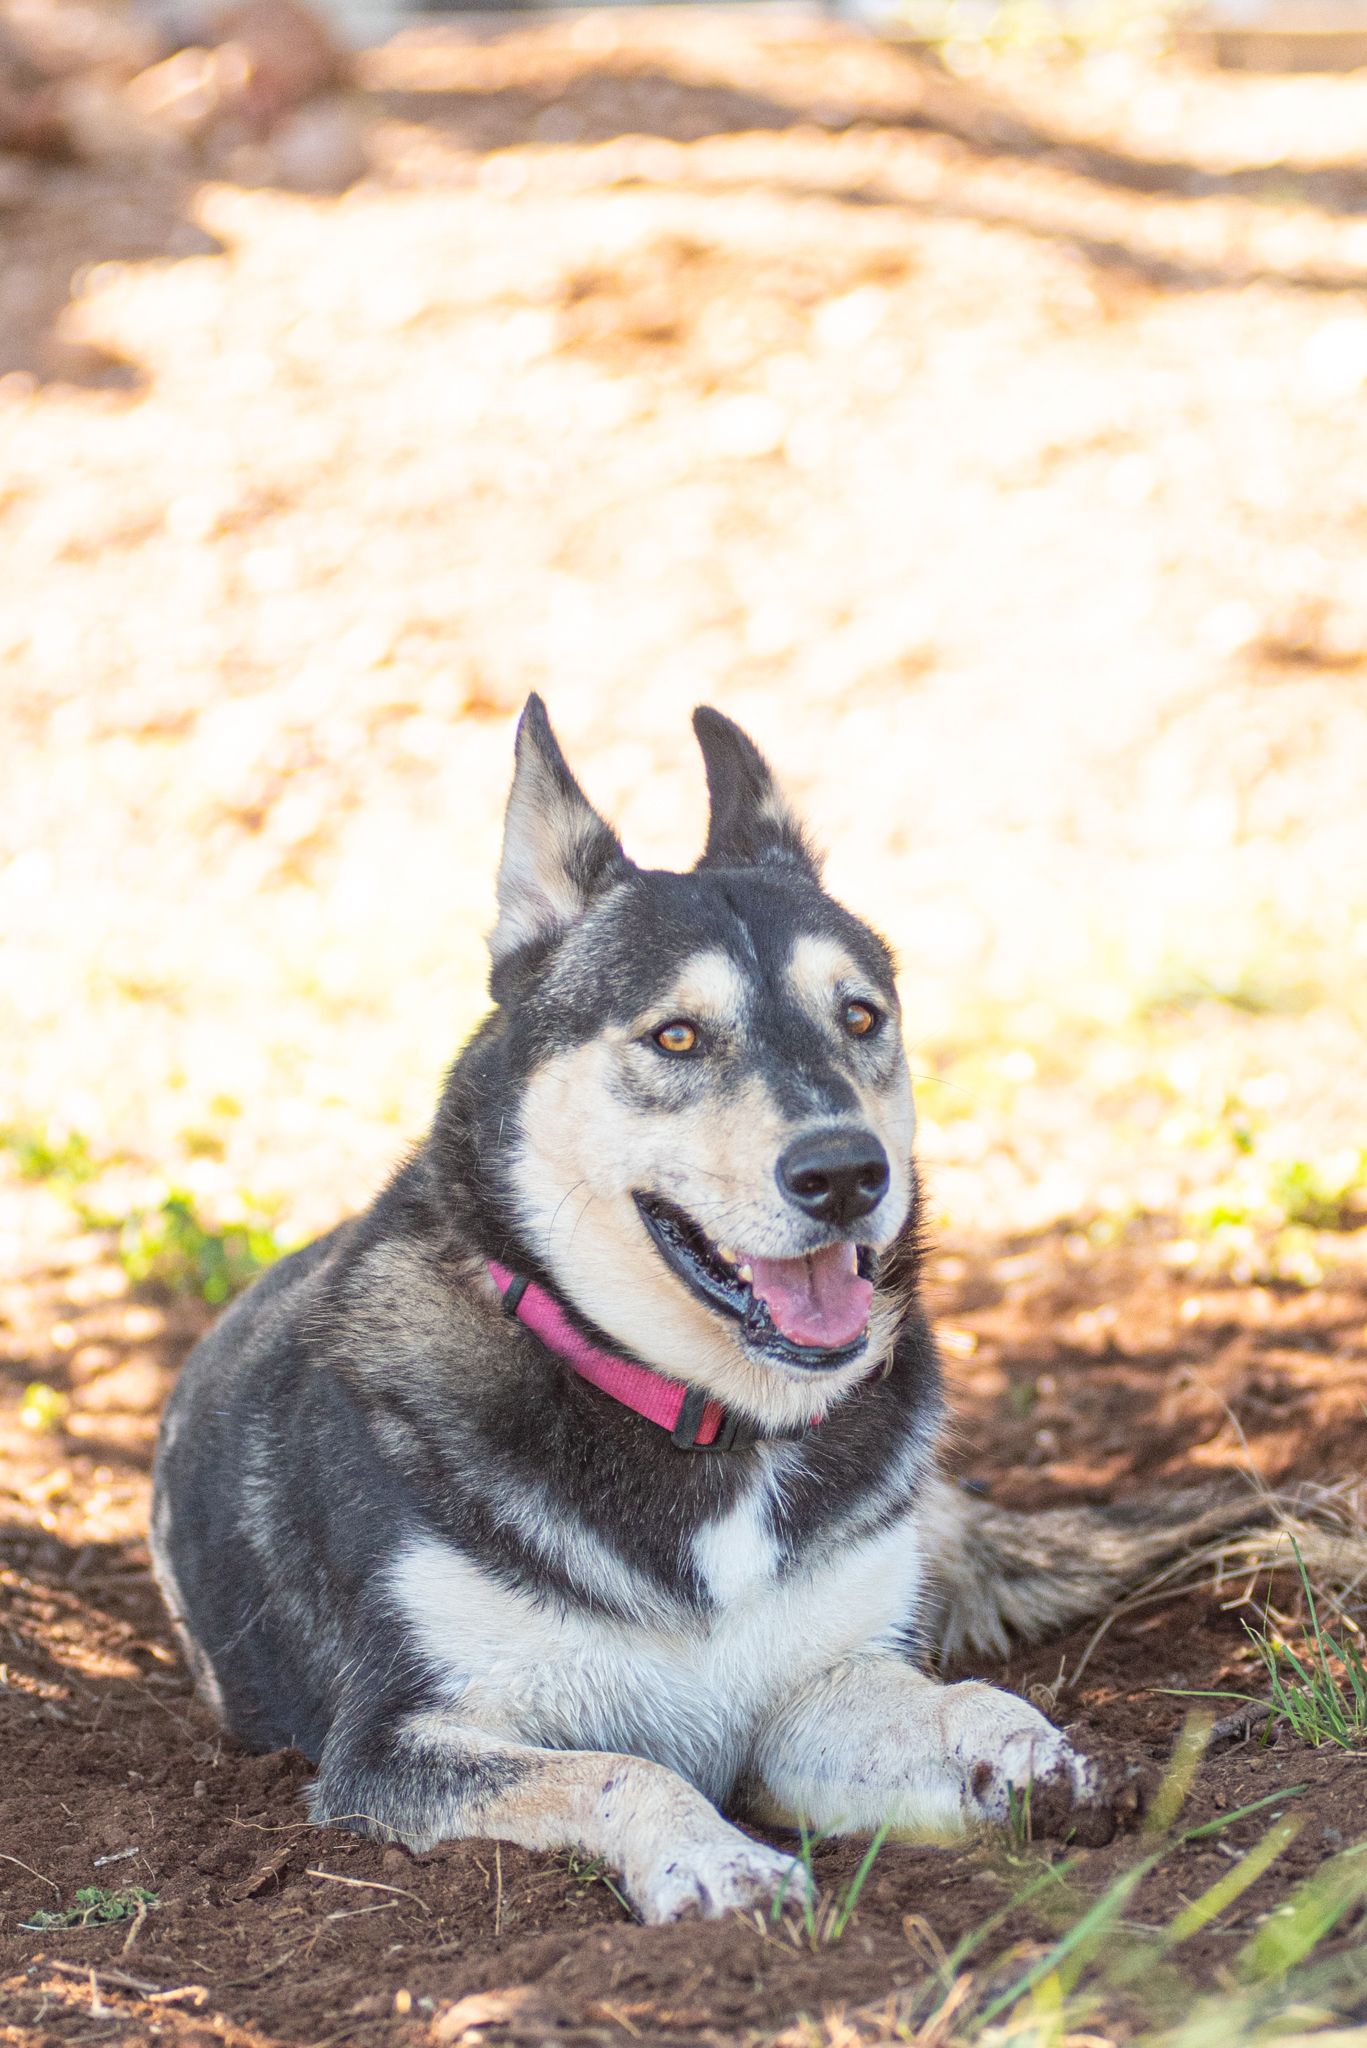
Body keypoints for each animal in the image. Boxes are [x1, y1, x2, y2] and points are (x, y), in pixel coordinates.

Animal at [149, 704, 1131, 1916]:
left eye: (859, 1017)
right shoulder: (396, 1744)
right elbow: (622, 1767)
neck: (702, 1417)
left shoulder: (810, 1692)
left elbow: (959, 1698)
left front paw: (1030, 1752)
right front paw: (717, 1862)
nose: (844, 1173)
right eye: (675, 1036)